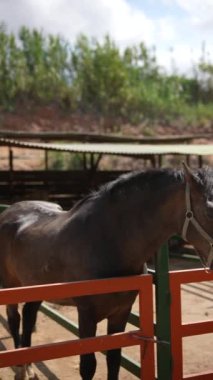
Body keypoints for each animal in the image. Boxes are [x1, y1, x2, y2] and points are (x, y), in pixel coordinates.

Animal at [0, 164, 213, 380]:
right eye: (210, 210)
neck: (108, 241)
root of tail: (10, 211)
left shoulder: (121, 312)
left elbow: (114, 360)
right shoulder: (86, 314)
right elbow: (88, 366)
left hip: (34, 286)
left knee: (29, 316)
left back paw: (29, 369)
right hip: (11, 286)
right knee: (14, 318)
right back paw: (20, 369)